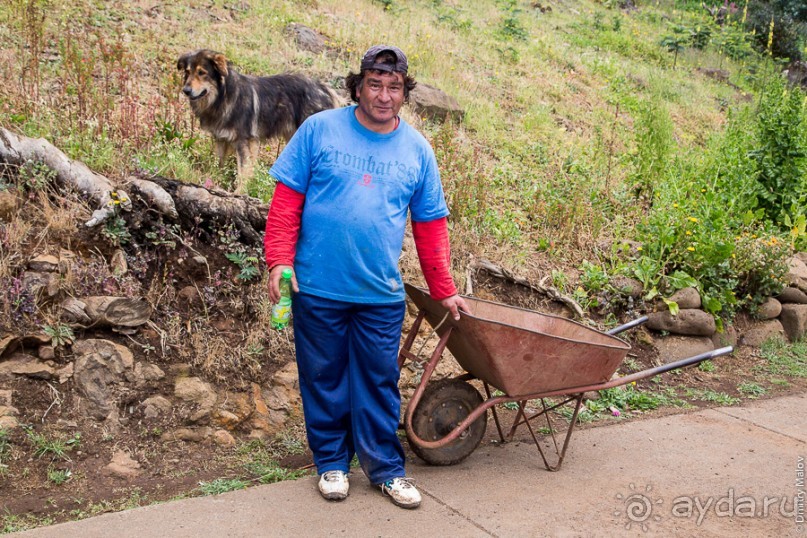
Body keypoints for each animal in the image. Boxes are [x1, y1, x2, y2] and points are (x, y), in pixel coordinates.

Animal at [178, 48, 340, 193]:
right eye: (188, 72)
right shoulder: (221, 139)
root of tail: (325, 89)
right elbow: (219, 164)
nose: (186, 90)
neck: (223, 97)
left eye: (202, 73)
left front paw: (239, 193)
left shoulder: (245, 141)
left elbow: (243, 171)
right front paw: (216, 181)